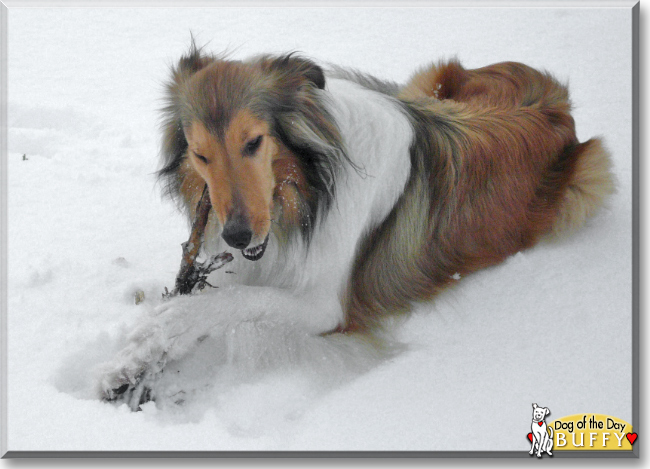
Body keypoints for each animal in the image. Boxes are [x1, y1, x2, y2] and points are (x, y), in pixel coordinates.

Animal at [96, 45, 612, 408]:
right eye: (200, 154)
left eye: (254, 142)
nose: (237, 236)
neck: (303, 199)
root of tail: (556, 97)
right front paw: (129, 365)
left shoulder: (327, 306)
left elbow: (227, 304)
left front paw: (156, 334)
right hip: (424, 82)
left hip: (592, 175)